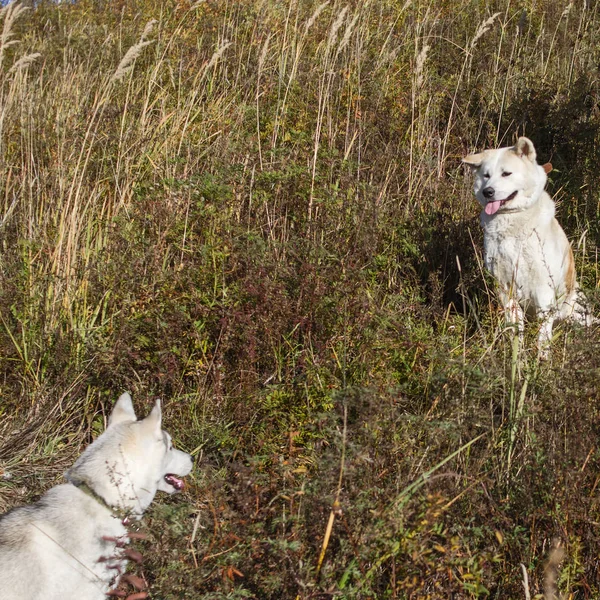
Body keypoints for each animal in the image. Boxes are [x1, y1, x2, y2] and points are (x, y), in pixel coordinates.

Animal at [464, 137, 592, 352]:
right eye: (486, 175)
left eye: (506, 173)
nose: (487, 191)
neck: (513, 221)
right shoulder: (504, 287)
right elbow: (515, 328)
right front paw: (516, 354)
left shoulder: (543, 289)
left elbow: (543, 334)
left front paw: (541, 358)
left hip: (576, 311)